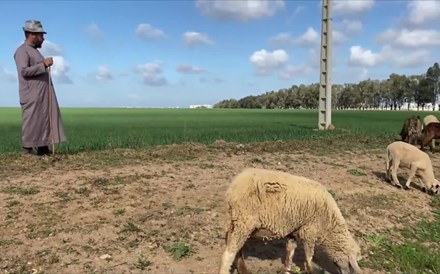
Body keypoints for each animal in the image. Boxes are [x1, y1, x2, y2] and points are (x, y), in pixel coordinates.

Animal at [219, 167, 360, 274]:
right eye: (350, 263)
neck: (329, 225)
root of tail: (232, 188)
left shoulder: (294, 231)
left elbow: (290, 252)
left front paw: (287, 270)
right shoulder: (309, 232)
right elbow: (309, 257)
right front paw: (311, 270)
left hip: (235, 223)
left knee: (237, 250)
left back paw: (243, 269)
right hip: (244, 222)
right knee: (229, 254)